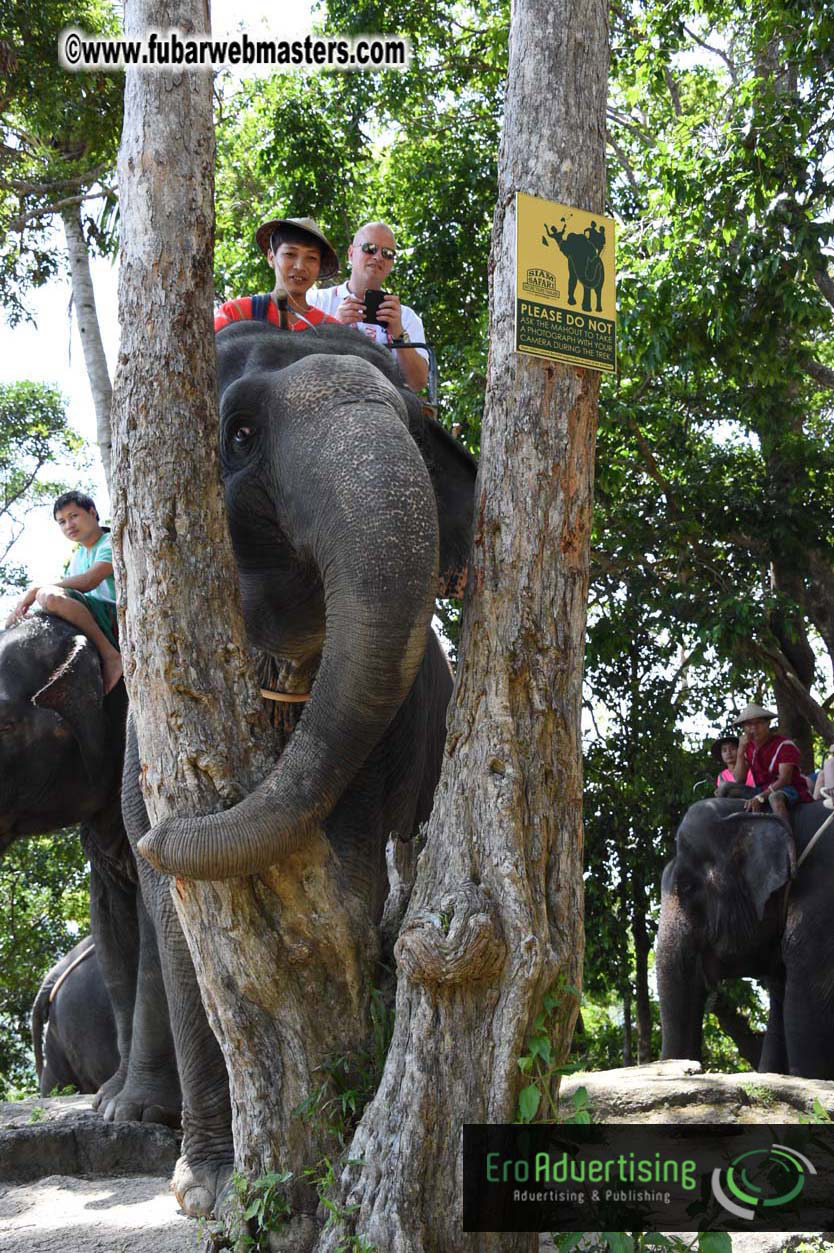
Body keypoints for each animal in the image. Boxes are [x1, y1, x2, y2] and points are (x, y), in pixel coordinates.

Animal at [113, 320, 478, 1216]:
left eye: (415, 424)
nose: (170, 827)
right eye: (240, 434)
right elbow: (180, 921)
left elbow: (351, 874)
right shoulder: (146, 734)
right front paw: (207, 1185)